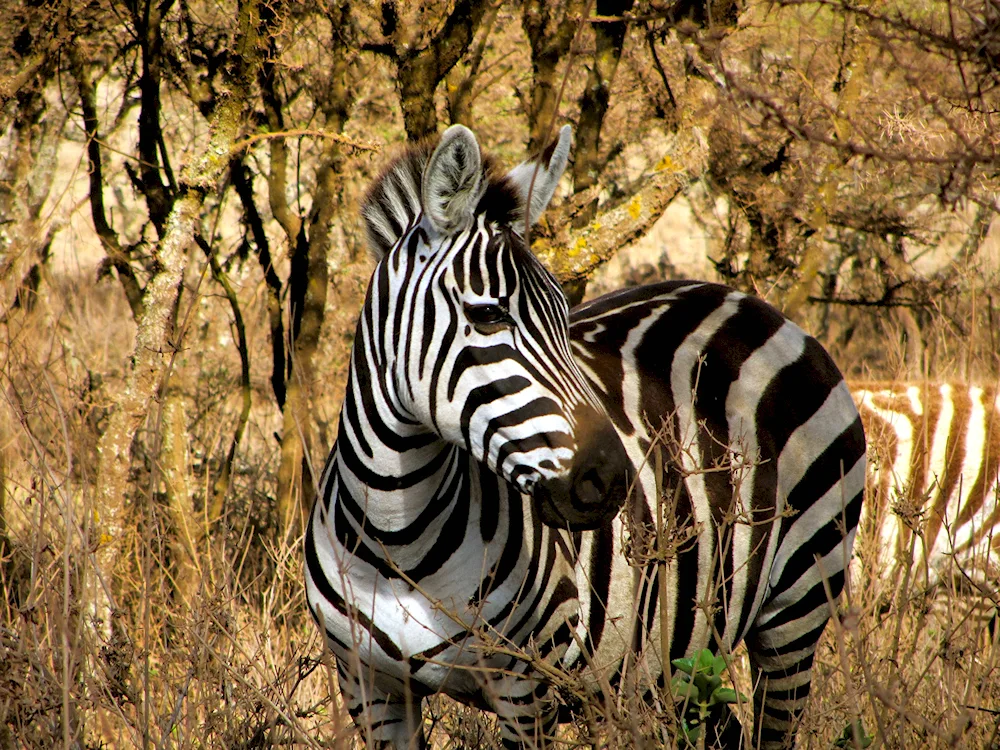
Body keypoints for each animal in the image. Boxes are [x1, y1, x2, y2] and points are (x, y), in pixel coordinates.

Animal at [306, 126, 868, 748]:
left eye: (563, 313)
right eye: (488, 316)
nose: (611, 478)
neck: (397, 537)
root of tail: (748, 302)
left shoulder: (527, 688)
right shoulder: (369, 688)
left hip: (798, 605)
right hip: (680, 658)